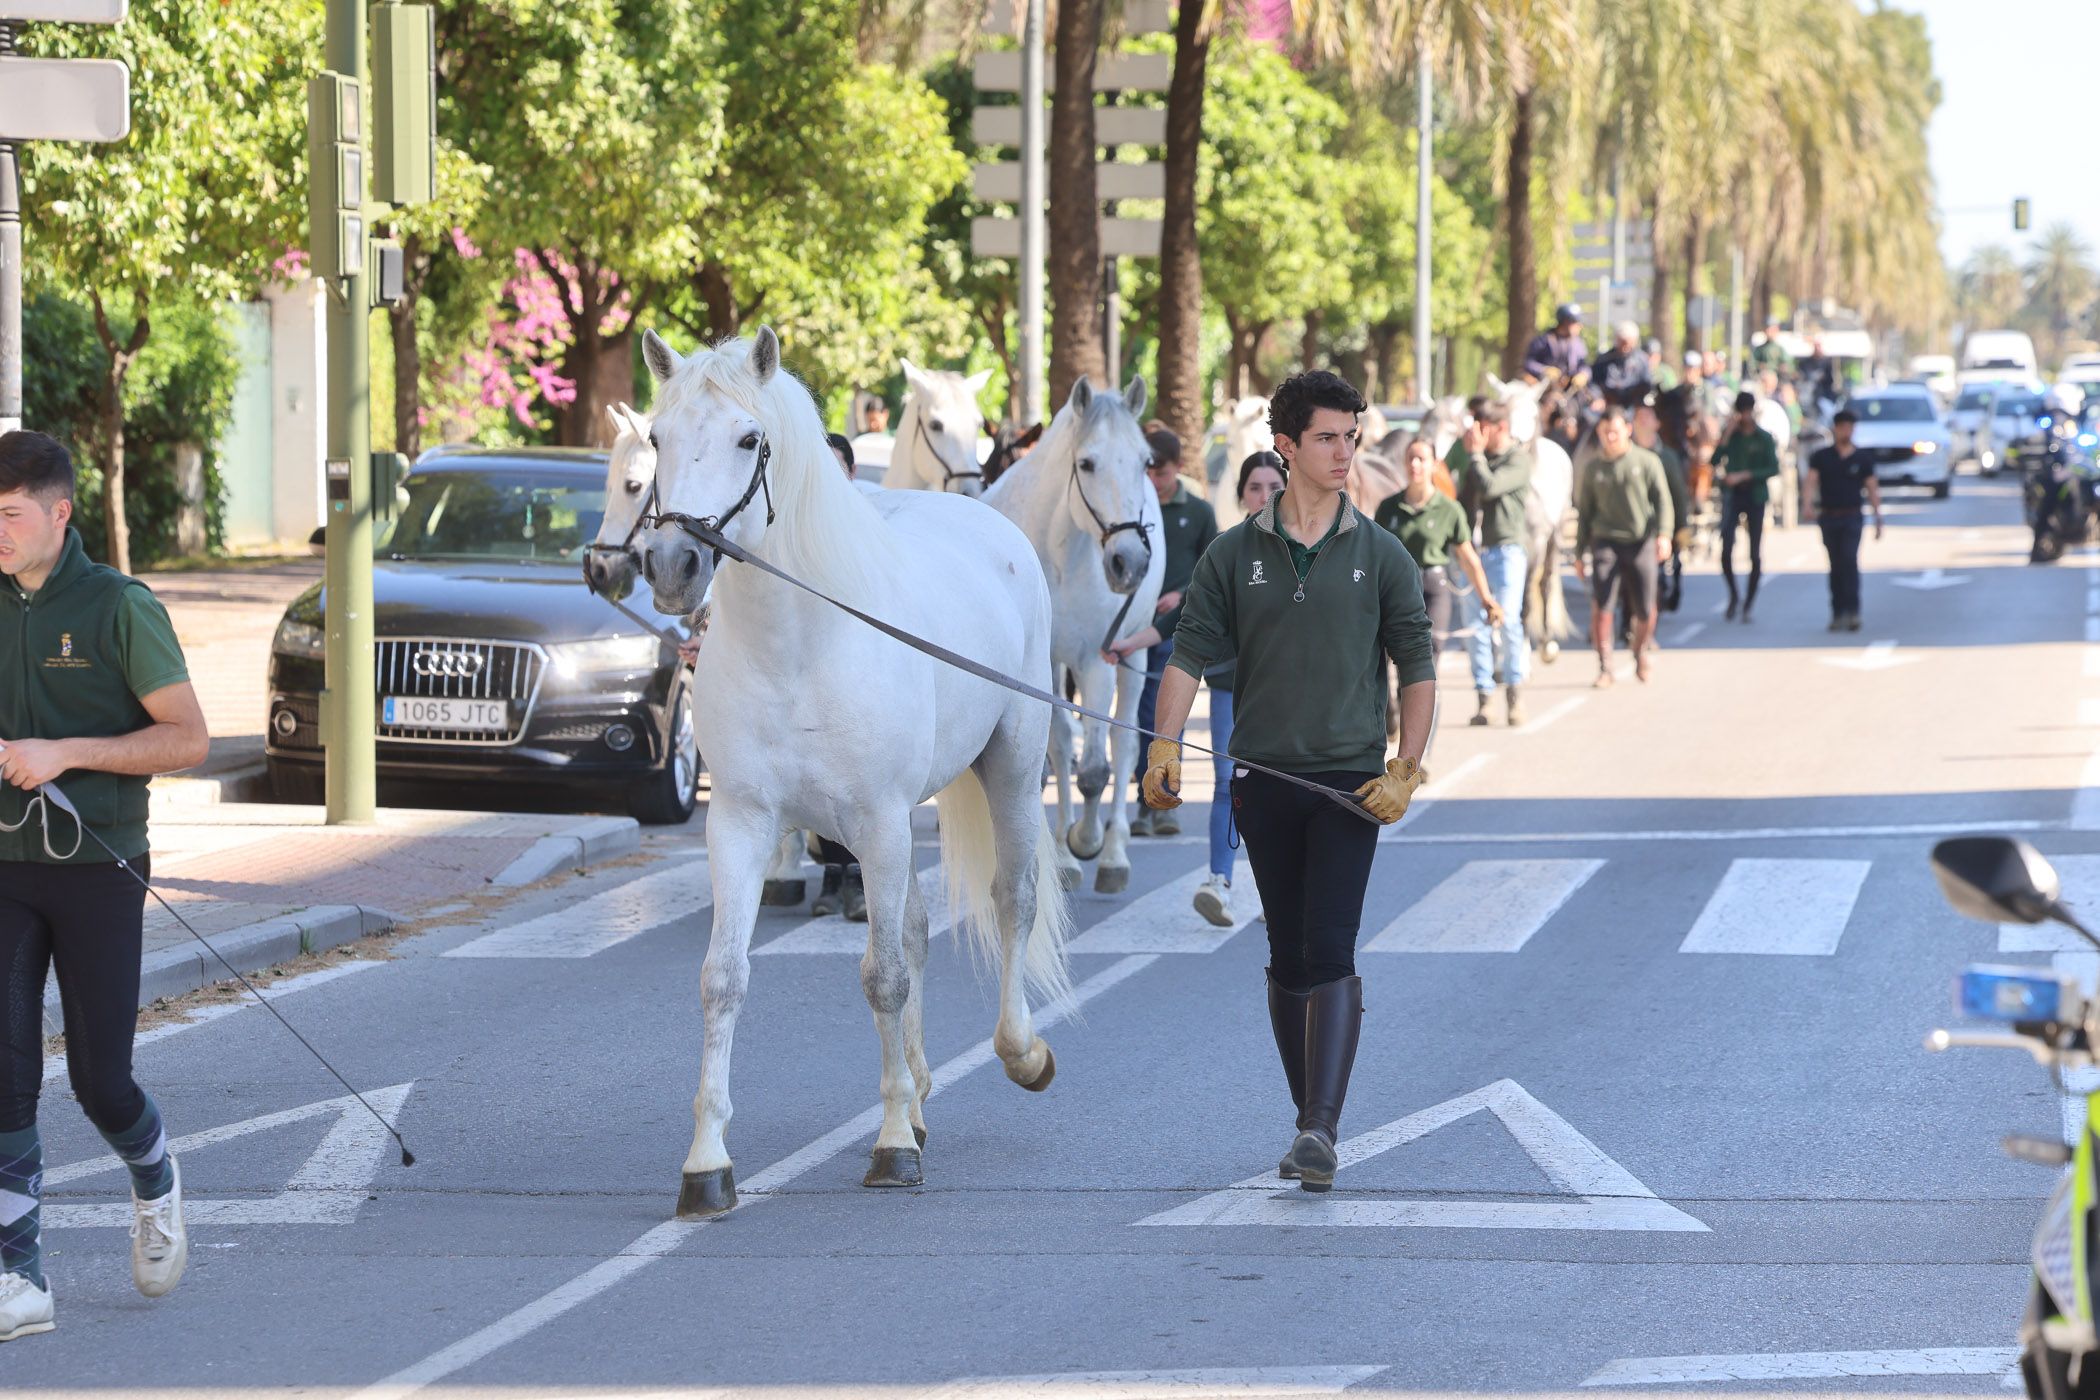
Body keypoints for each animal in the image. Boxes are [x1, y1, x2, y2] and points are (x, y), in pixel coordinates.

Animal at [984, 374, 1164, 896]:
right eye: (1086, 463)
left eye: (1146, 462)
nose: (1131, 563)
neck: (1064, 548)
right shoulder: (1045, 661)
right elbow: (1060, 746)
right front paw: (1068, 849)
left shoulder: (1095, 659)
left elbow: (1098, 767)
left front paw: (1090, 840)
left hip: (1134, 653)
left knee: (1124, 744)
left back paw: (1115, 851)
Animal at [1484, 374, 1575, 663]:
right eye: (1502, 410)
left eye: (1533, 414)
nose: (1515, 441)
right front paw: (1499, 657)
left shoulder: (1534, 545)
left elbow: (1523, 601)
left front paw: (1521, 655)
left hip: (1555, 538)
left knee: (1545, 584)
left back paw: (1546, 645)